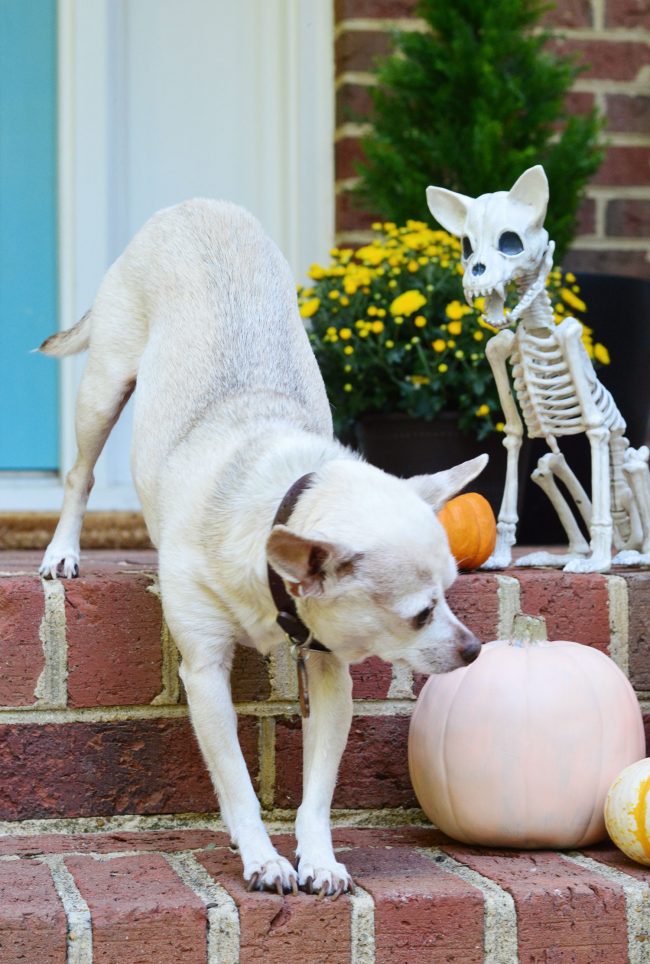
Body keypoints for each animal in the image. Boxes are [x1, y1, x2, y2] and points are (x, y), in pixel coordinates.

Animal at [38, 200, 484, 900]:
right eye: (420, 614)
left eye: (453, 598)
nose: (475, 649)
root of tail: (196, 204)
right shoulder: (204, 676)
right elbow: (239, 785)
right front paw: (263, 858)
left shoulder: (328, 674)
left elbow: (319, 789)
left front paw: (319, 857)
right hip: (103, 387)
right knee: (80, 473)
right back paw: (62, 551)